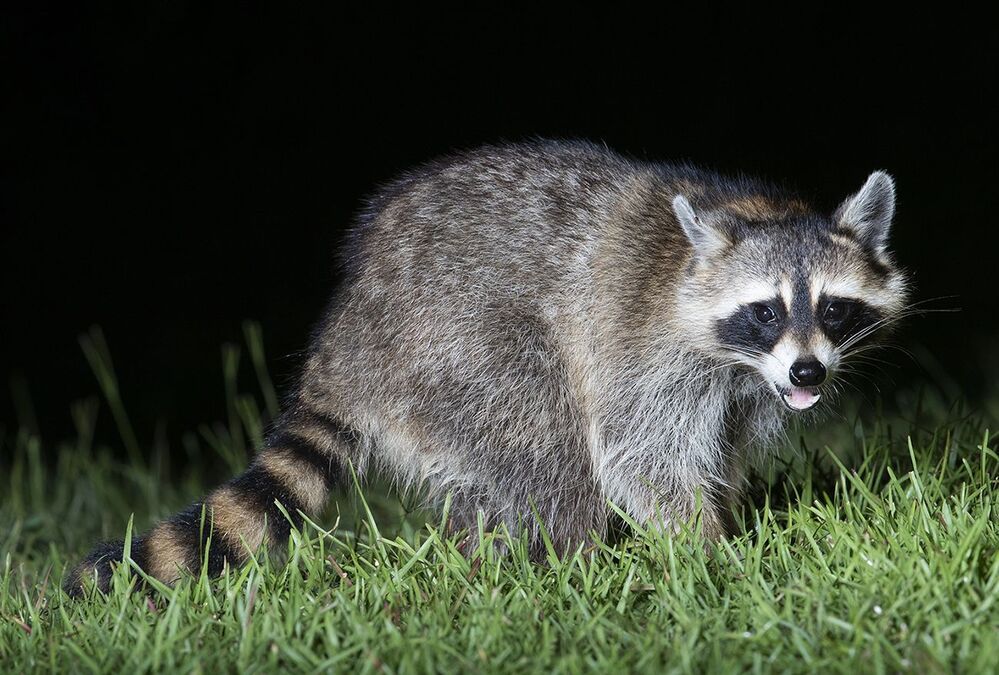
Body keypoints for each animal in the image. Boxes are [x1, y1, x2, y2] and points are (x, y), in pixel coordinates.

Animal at [65, 140, 909, 596]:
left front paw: (727, 516)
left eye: (833, 309)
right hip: (457, 345)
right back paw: (567, 569)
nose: (807, 375)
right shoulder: (642, 351)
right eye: (765, 311)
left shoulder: (742, 390)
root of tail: (350, 328)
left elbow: (720, 449)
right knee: (550, 452)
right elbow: (638, 457)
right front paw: (705, 551)